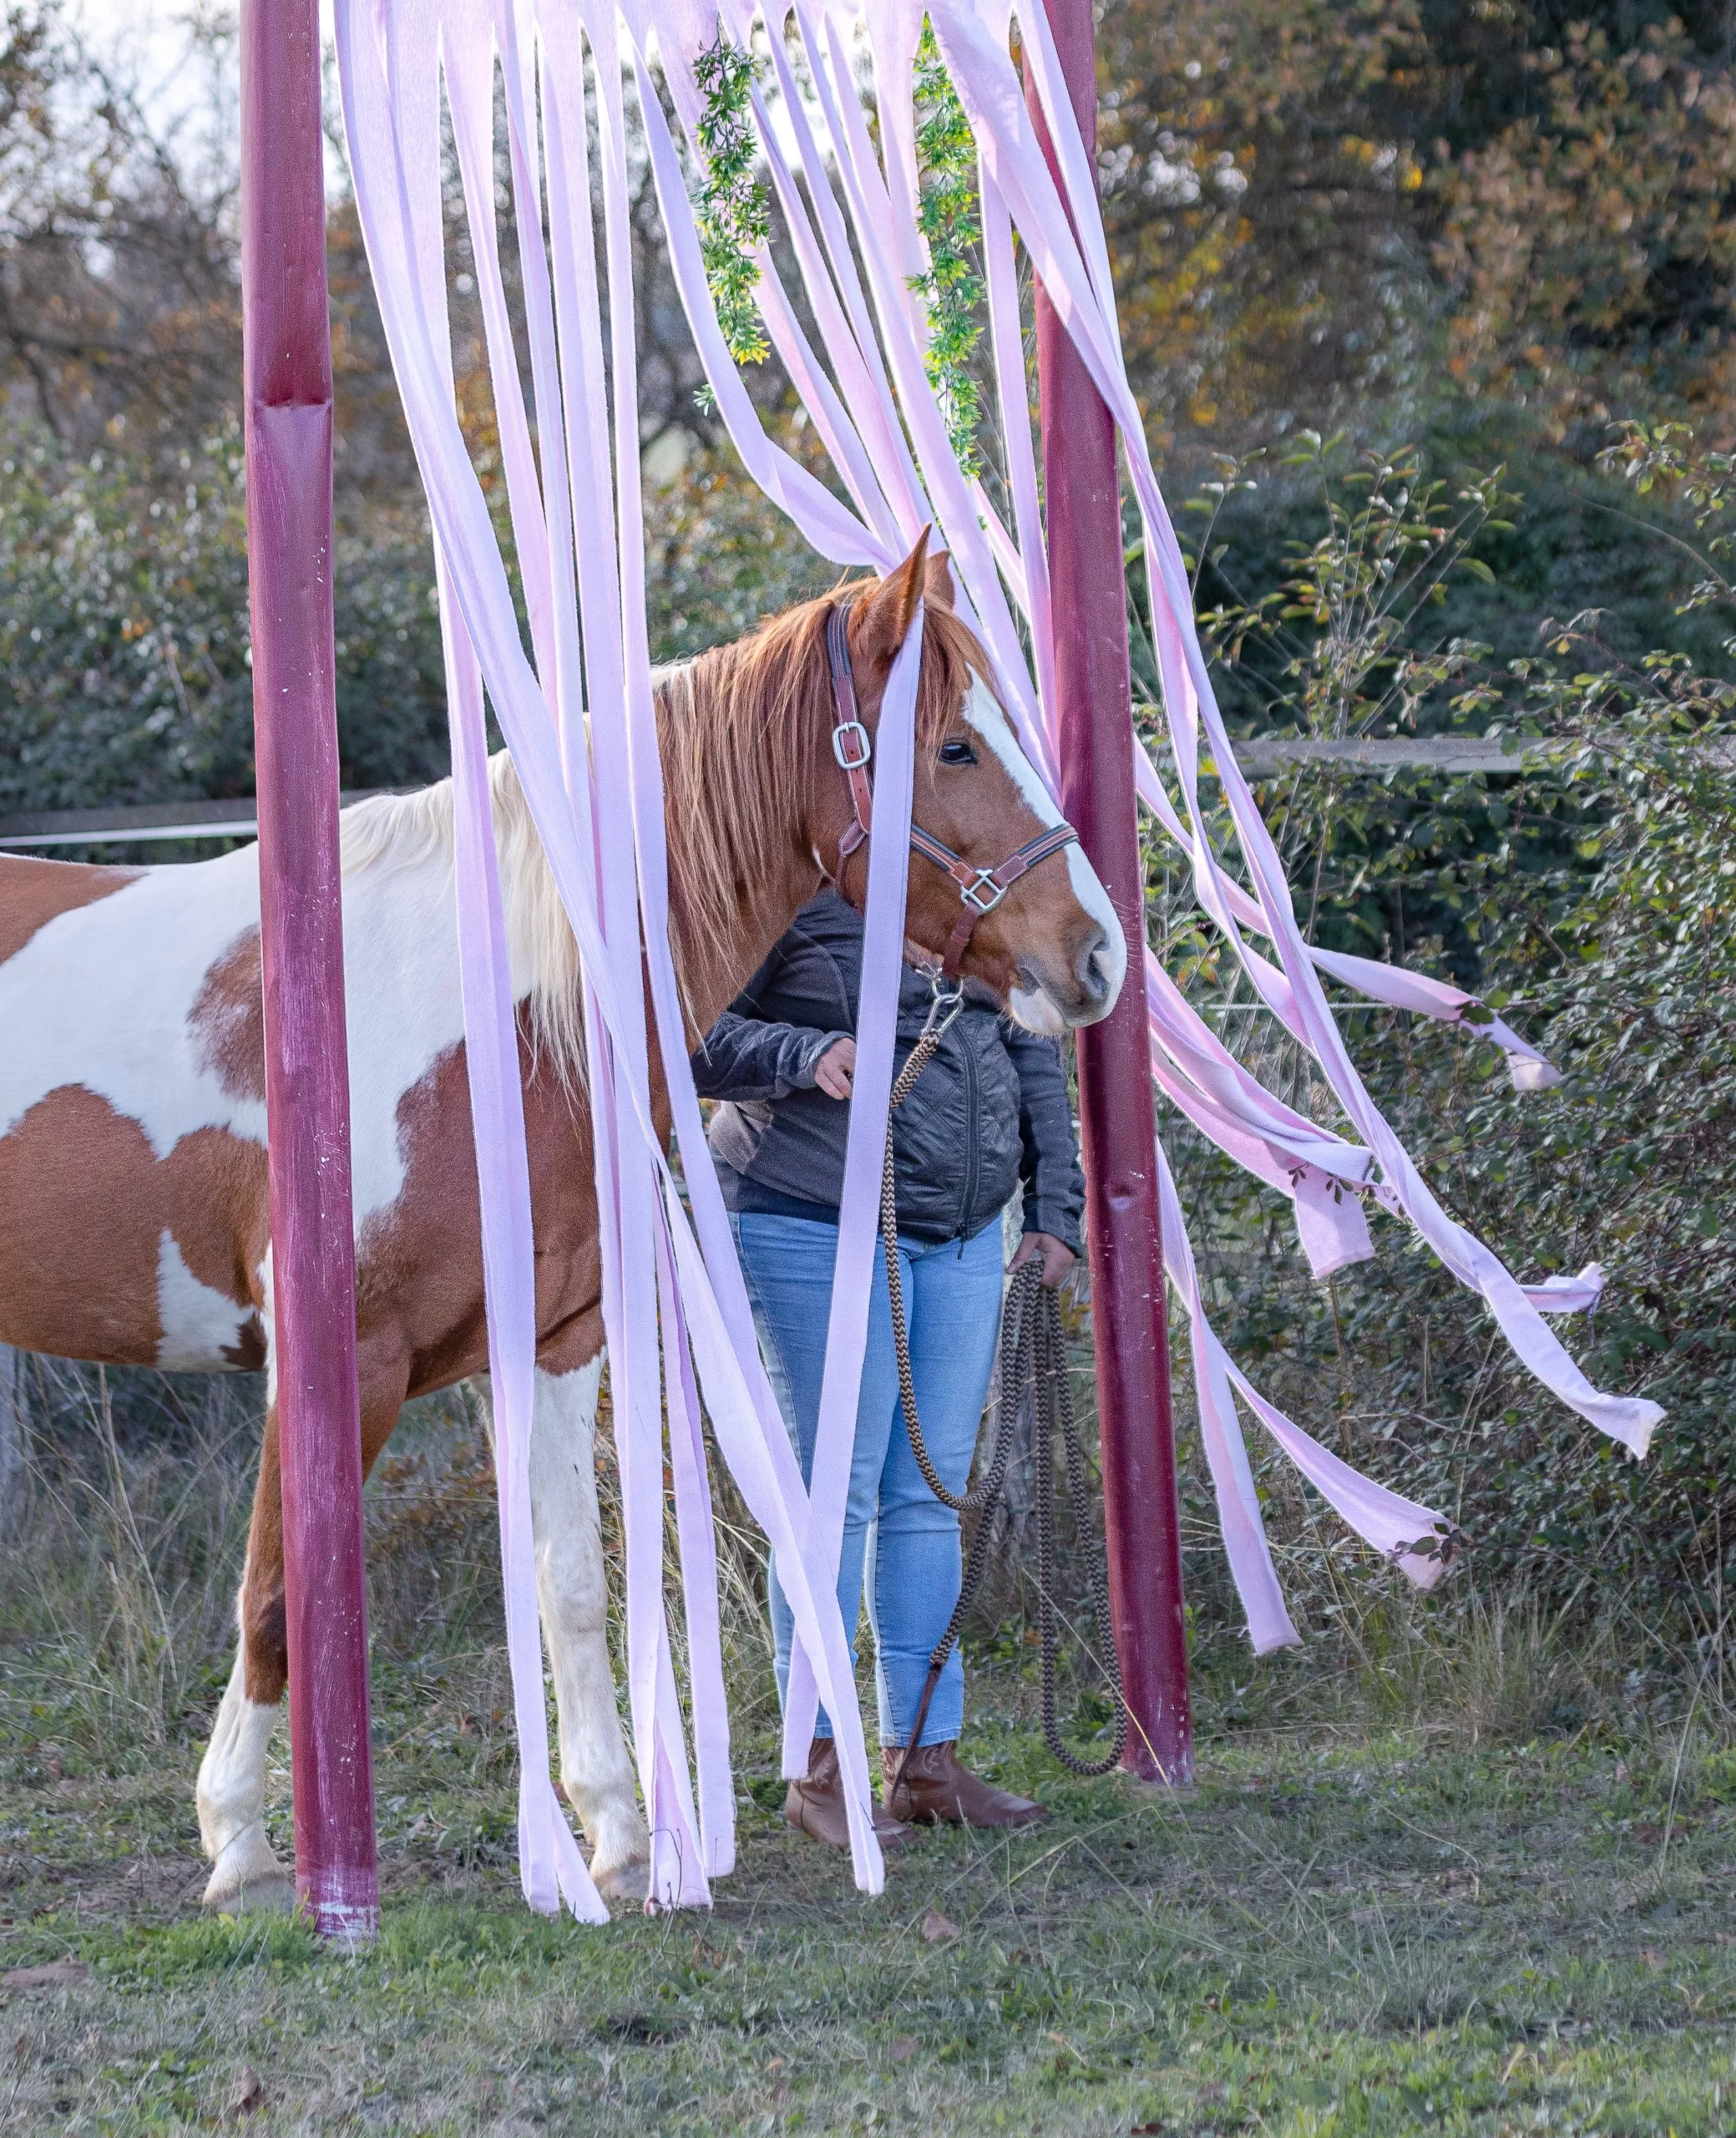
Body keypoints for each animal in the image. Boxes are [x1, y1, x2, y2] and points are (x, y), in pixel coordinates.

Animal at [0, 536, 1126, 1910]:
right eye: (955, 745)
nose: (1098, 956)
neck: (485, 1016)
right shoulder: (336, 1357)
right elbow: (275, 1596)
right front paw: (246, 1852)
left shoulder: (549, 1344)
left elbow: (572, 1588)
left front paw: (619, 1835)